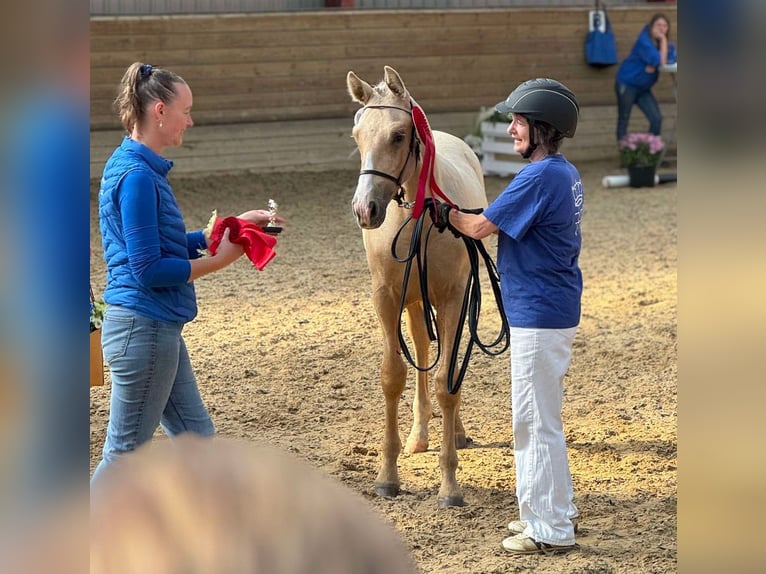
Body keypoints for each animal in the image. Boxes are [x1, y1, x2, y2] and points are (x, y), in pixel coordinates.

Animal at [346, 67, 488, 508]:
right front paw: (387, 477)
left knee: (448, 361)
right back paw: (420, 434)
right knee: (424, 348)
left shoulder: (454, 297)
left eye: (398, 135)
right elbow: (393, 376)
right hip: (413, 302)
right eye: (357, 135)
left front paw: (450, 486)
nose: (365, 210)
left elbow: (447, 380)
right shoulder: (387, 298)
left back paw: (455, 432)